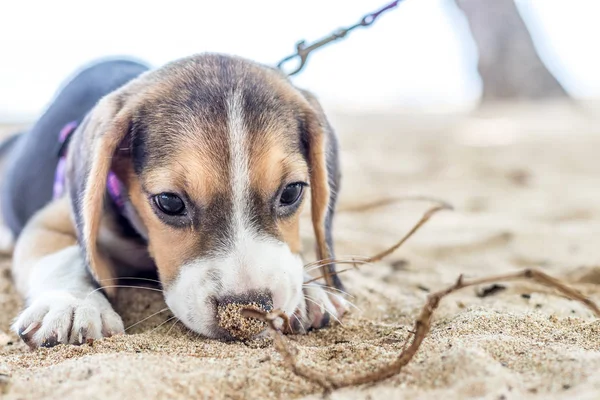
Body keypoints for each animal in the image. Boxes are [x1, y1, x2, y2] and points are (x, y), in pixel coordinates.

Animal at [1, 53, 346, 346]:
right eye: (169, 202)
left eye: (291, 191)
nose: (246, 314)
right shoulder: (49, 222)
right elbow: (66, 257)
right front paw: (72, 303)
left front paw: (310, 289)